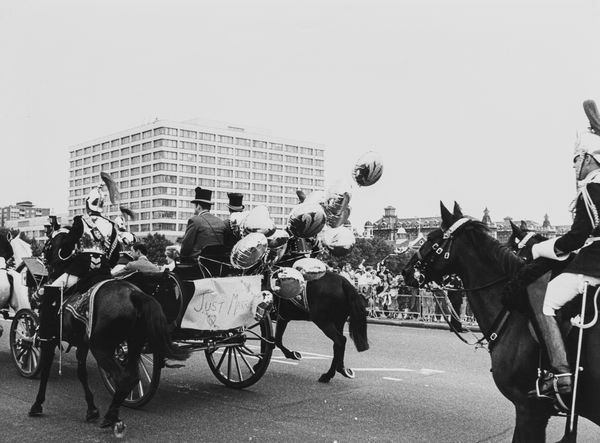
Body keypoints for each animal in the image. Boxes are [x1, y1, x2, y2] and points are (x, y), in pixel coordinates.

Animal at [29, 231, 190, 438]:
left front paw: (37, 404)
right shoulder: (82, 344)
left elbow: (46, 370)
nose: (41, 257)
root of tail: (135, 294)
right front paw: (91, 409)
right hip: (133, 344)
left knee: (123, 377)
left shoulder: (49, 338)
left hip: (102, 347)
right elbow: (81, 373)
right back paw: (114, 412)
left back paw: (112, 417)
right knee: (132, 376)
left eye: (48, 242)